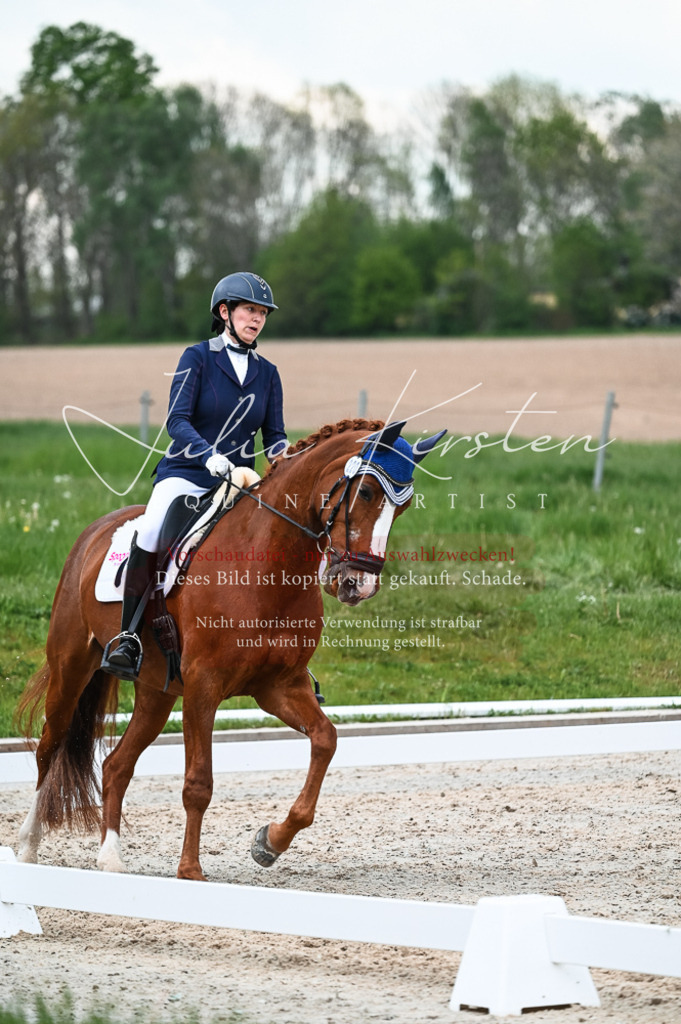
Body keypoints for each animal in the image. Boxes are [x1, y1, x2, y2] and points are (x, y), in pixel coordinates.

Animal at [17, 418, 443, 881]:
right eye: (365, 492)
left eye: (404, 506)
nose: (358, 584)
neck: (269, 565)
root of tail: (94, 530)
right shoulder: (204, 685)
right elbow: (198, 783)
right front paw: (190, 871)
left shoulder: (279, 686)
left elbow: (325, 739)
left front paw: (269, 842)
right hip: (72, 666)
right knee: (50, 747)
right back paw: (28, 846)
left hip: (157, 692)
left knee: (115, 766)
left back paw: (110, 857)